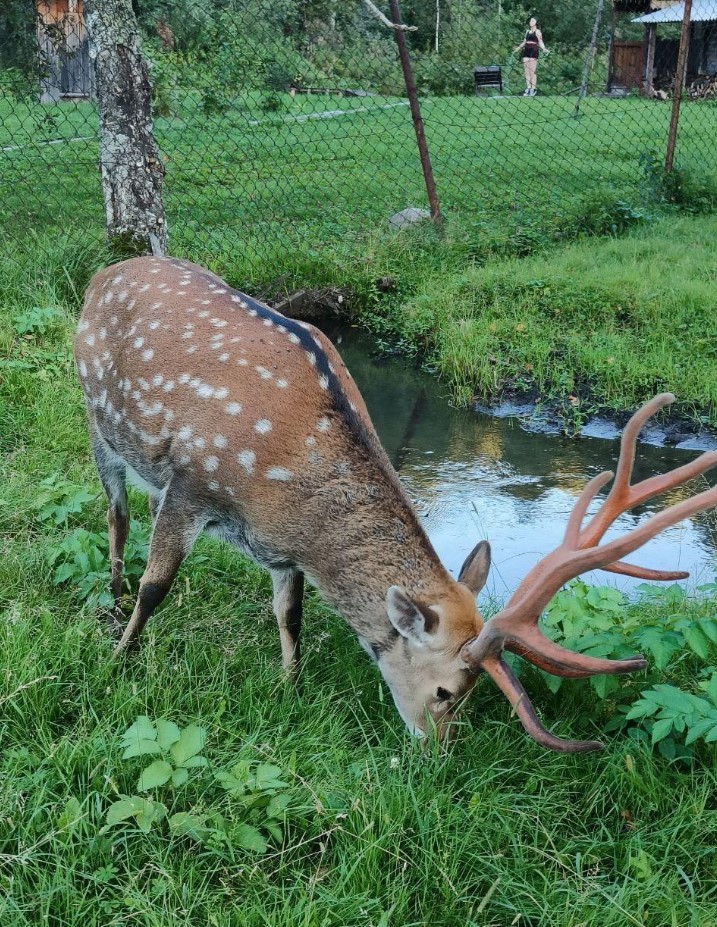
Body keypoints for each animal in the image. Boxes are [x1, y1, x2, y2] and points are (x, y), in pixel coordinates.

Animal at [74, 258, 716, 752]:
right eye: (445, 691)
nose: (438, 754)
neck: (285, 490)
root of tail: (104, 272)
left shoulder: (281, 548)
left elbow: (290, 613)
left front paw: (290, 686)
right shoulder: (190, 484)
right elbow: (158, 586)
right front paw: (120, 660)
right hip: (96, 418)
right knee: (116, 511)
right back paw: (113, 590)